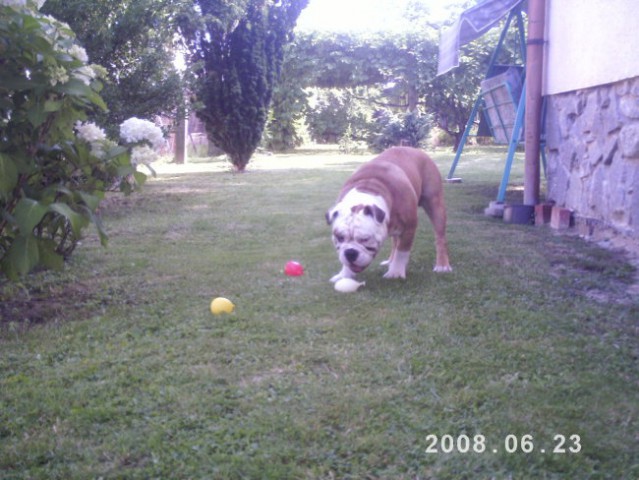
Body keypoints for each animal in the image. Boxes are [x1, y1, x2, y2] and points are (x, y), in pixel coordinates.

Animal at [328, 146, 452, 282]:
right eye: (339, 237)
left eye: (365, 239)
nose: (350, 253)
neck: (369, 187)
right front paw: (344, 275)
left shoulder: (409, 228)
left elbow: (402, 252)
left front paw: (395, 273)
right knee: (395, 242)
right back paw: (390, 261)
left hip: (435, 206)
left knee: (440, 238)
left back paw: (442, 265)